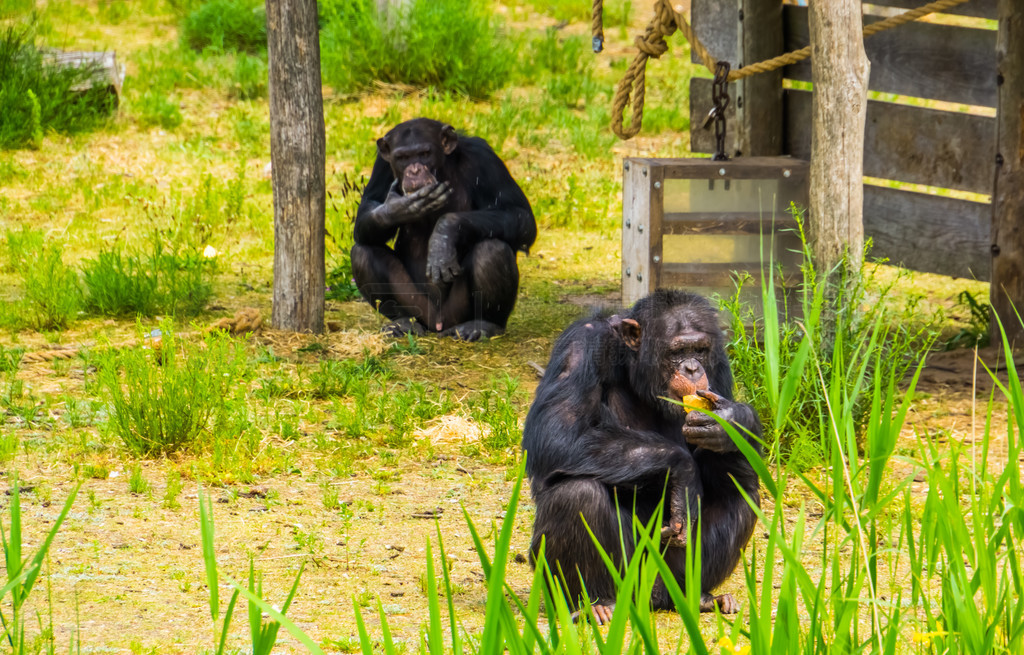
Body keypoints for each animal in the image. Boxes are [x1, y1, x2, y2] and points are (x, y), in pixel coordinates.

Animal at [350, 118, 536, 343]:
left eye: (424, 153)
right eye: (402, 158)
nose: (414, 170)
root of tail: (438, 325)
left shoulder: (484, 156)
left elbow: (519, 214)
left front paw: (443, 235)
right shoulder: (382, 165)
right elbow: (367, 209)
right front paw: (398, 208)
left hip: (457, 312)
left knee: (492, 250)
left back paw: (483, 325)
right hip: (418, 306)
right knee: (363, 251)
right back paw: (403, 322)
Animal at [524, 288, 765, 622]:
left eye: (700, 350)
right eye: (678, 352)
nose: (693, 368)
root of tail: (651, 596)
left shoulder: (718, 364)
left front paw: (729, 421)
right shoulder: (581, 346)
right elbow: (558, 433)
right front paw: (682, 471)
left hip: (669, 570)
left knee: (740, 487)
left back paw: (698, 597)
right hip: (628, 575)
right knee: (576, 494)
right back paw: (595, 604)